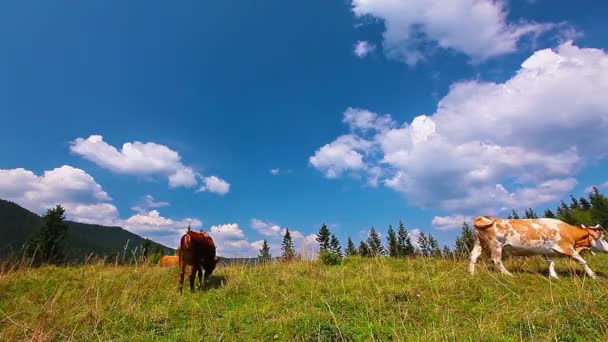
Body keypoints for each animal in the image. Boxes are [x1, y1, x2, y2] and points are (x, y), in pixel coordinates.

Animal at [470, 216, 608, 278]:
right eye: (602, 238)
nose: (607, 248)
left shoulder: (548, 251)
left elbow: (550, 263)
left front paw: (554, 276)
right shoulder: (567, 248)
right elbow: (582, 261)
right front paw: (593, 275)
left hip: (478, 243)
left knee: (473, 257)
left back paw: (472, 273)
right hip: (496, 245)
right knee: (496, 260)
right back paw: (509, 275)